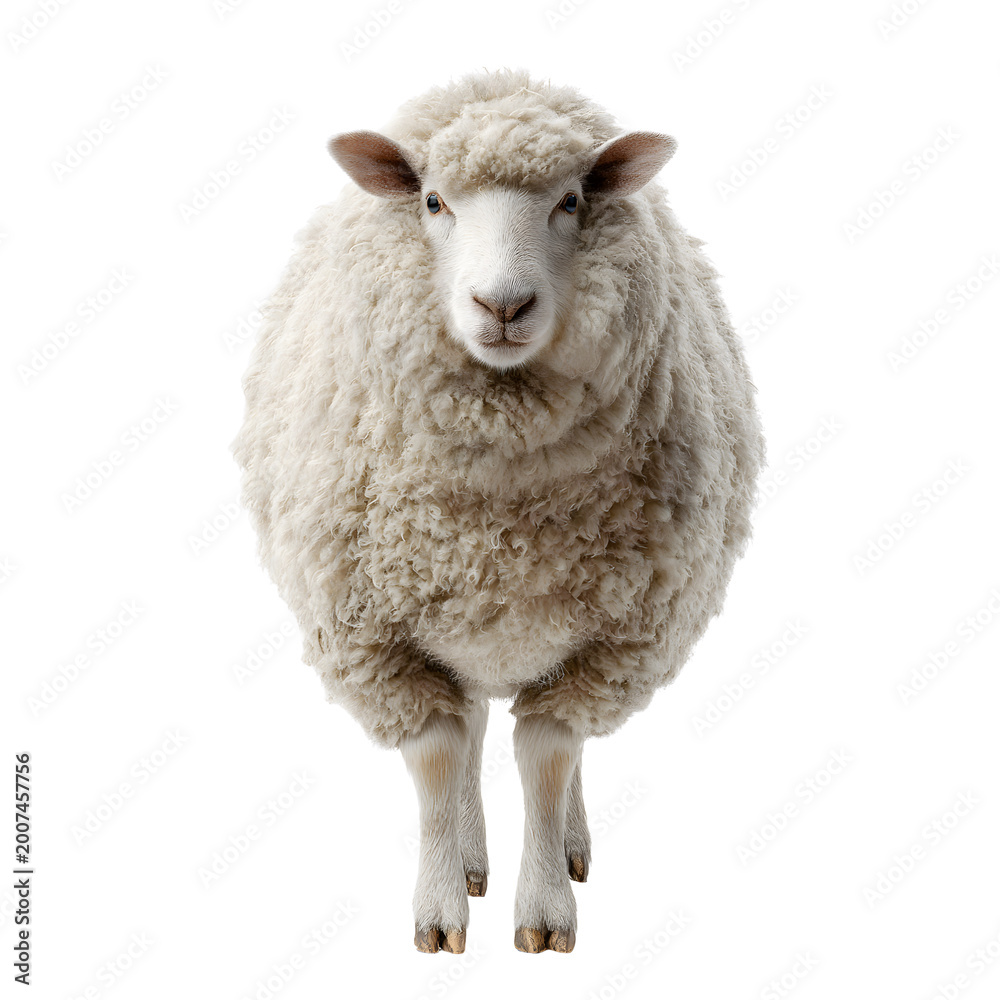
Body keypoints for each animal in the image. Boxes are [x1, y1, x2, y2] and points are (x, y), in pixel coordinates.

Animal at [232, 68, 765, 955]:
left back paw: (569, 844)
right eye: (433, 201)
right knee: (474, 724)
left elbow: (549, 754)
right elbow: (440, 755)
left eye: (573, 201)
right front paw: (442, 903)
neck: (499, 513)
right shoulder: (375, 639)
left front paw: (545, 908)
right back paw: (473, 855)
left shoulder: (616, 643)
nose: (503, 306)